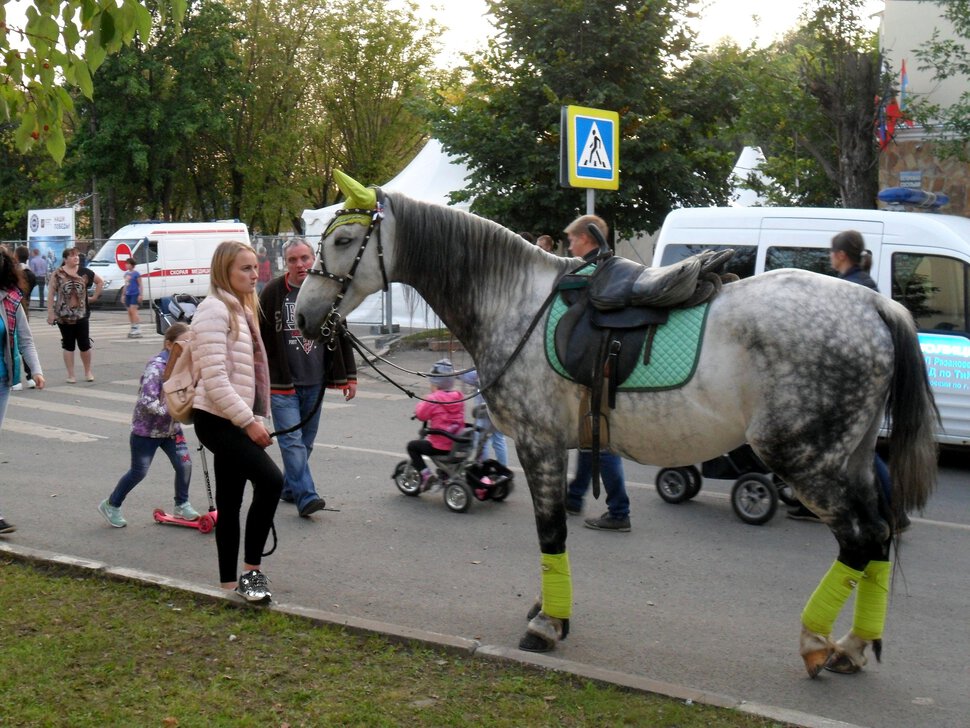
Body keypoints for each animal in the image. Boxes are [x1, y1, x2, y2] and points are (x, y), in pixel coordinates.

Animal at [296, 171, 936, 676]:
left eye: (344, 239)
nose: (301, 314)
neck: (514, 302)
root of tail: (876, 305)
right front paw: (548, 611)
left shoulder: (539, 444)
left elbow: (551, 532)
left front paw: (548, 624)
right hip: (850, 457)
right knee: (879, 533)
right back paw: (855, 644)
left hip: (805, 458)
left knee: (860, 538)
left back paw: (817, 642)